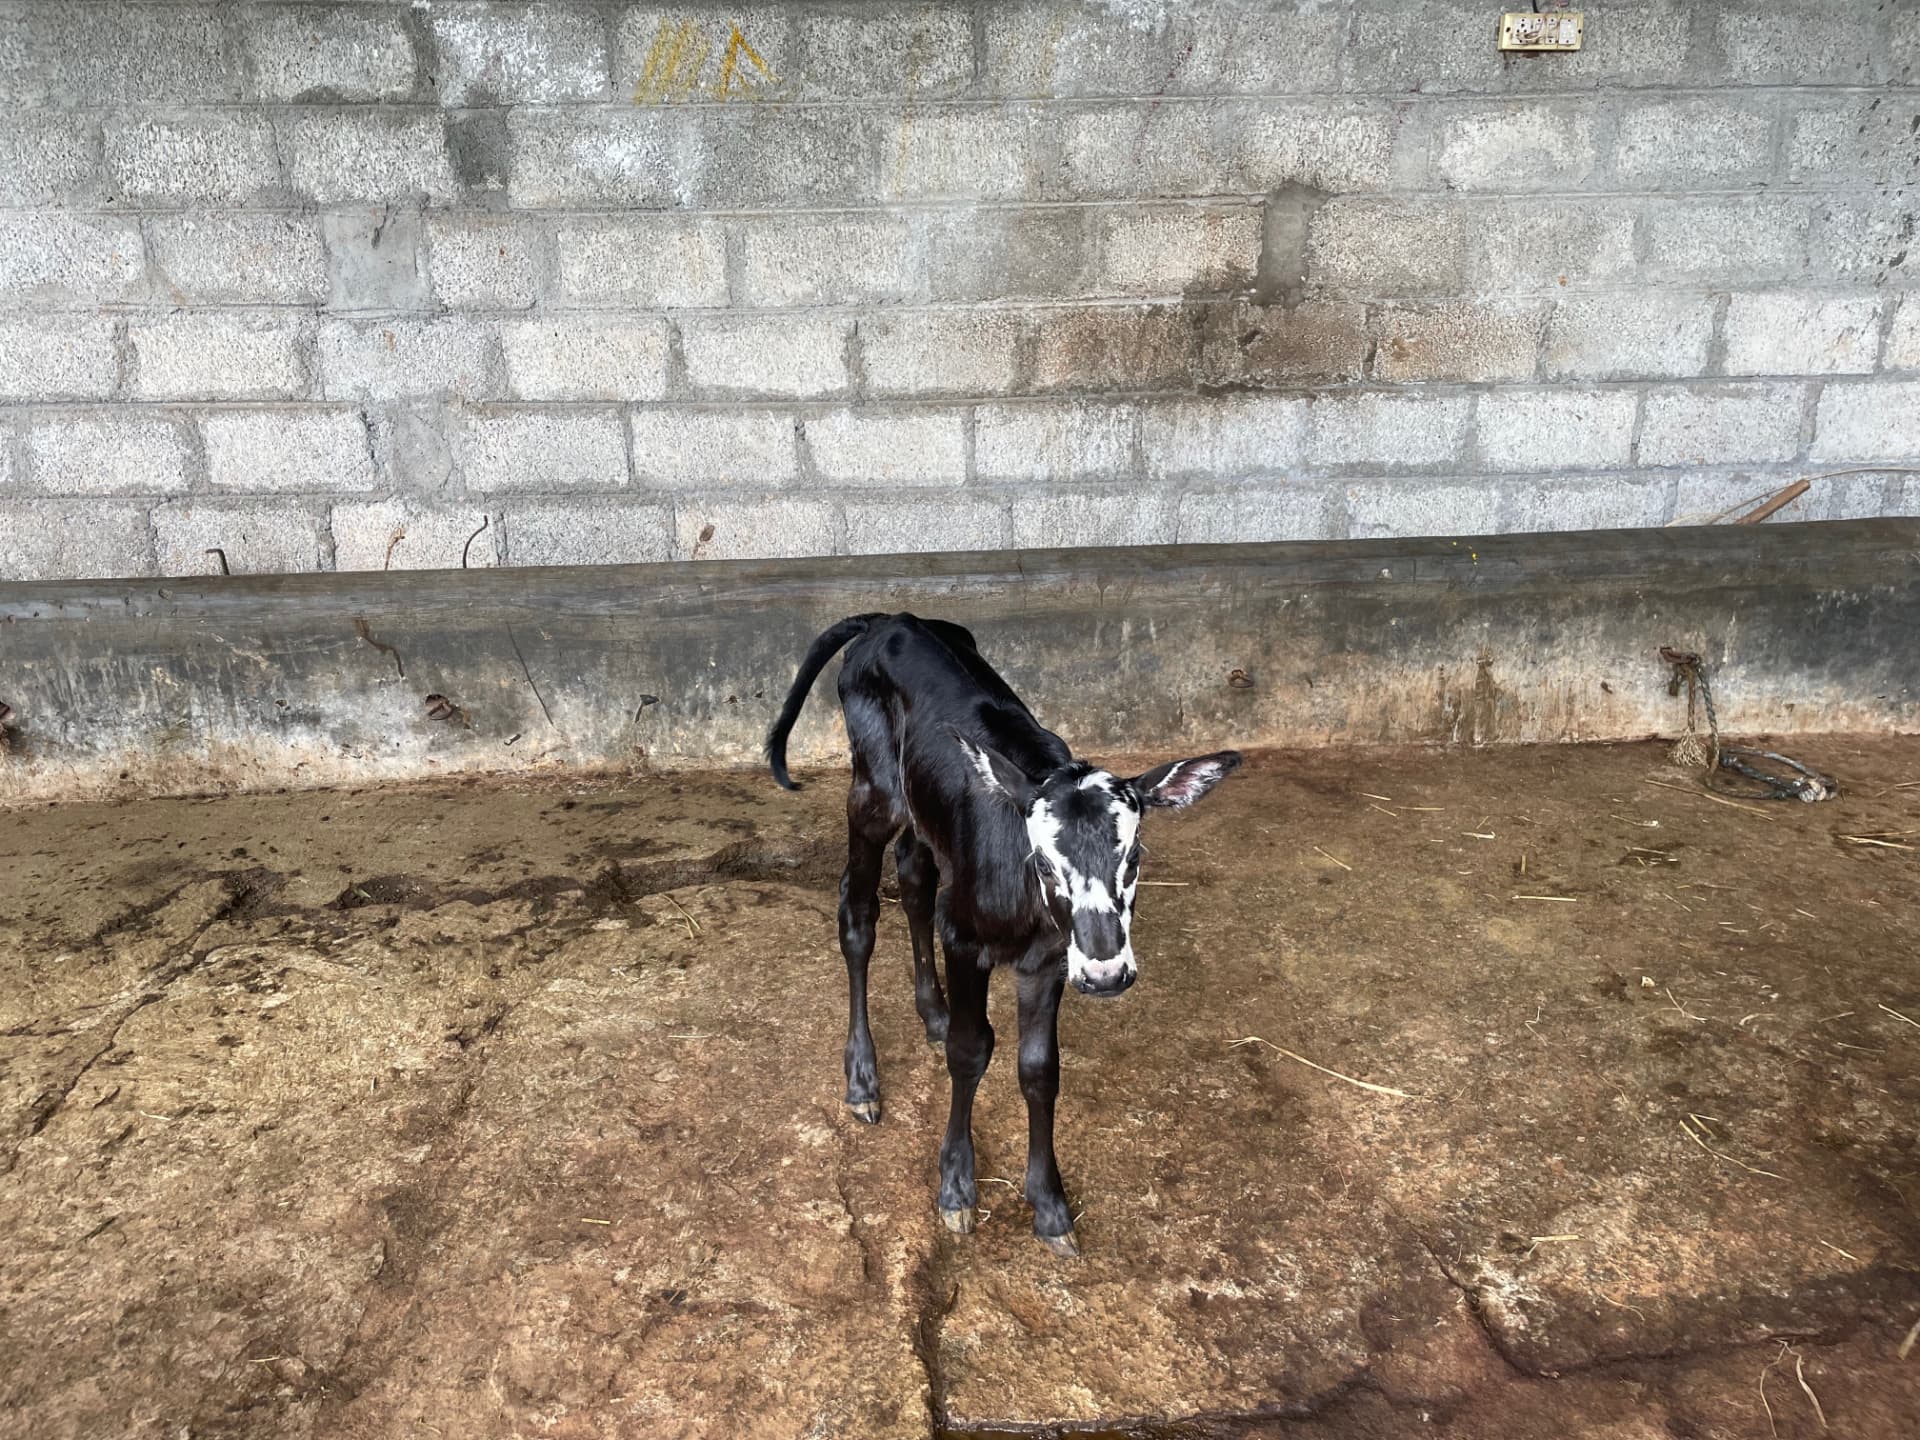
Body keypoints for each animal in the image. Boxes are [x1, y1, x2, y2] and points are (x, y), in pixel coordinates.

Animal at [766, 613, 1240, 1257]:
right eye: (1043, 862)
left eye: (1135, 856)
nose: (1106, 972)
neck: (1028, 910)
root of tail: (891, 618)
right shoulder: (967, 941)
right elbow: (972, 1051)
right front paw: (957, 1186)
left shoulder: (1048, 959)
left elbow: (1039, 1069)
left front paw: (1049, 1204)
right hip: (873, 793)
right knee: (857, 915)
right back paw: (862, 1076)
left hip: (924, 816)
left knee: (915, 881)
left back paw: (932, 1012)